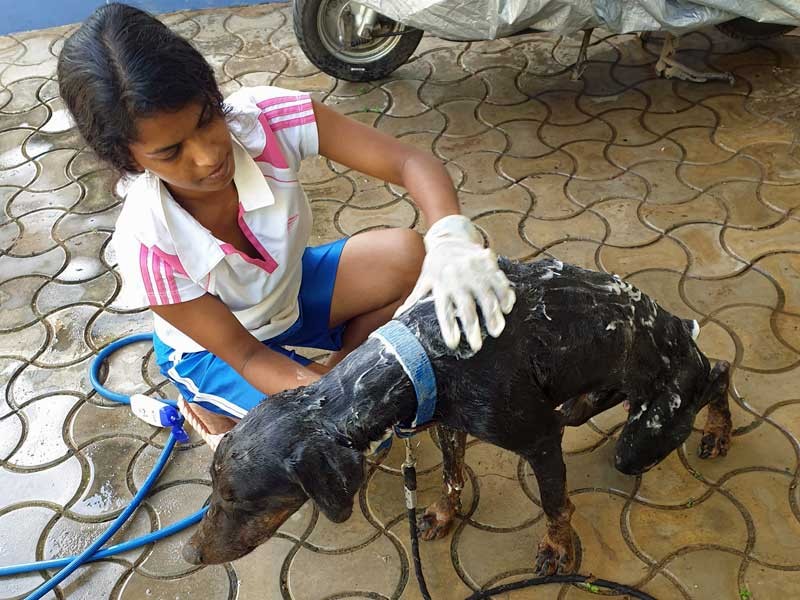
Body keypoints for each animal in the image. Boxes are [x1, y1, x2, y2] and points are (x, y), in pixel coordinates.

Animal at [181, 258, 732, 572]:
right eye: (214, 489)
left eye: (239, 500)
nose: (189, 554)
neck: (425, 348)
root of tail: (680, 332)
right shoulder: (448, 423)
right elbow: (450, 475)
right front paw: (444, 514)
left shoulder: (540, 441)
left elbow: (556, 504)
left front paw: (557, 547)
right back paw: (588, 402)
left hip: (643, 439)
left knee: (718, 373)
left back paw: (718, 430)